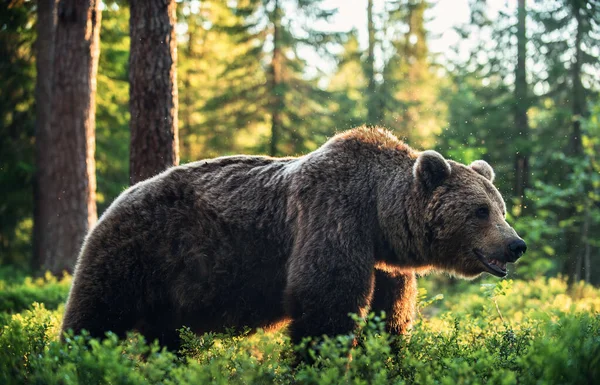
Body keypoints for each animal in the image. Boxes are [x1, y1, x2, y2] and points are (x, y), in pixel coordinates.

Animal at [61, 127, 524, 352]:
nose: (516, 245)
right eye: (480, 210)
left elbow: (389, 320)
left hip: (169, 292)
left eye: (501, 207)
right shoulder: (332, 220)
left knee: (167, 340)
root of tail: (118, 198)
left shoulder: (385, 268)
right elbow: (325, 309)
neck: (378, 219)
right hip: (138, 252)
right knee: (94, 316)